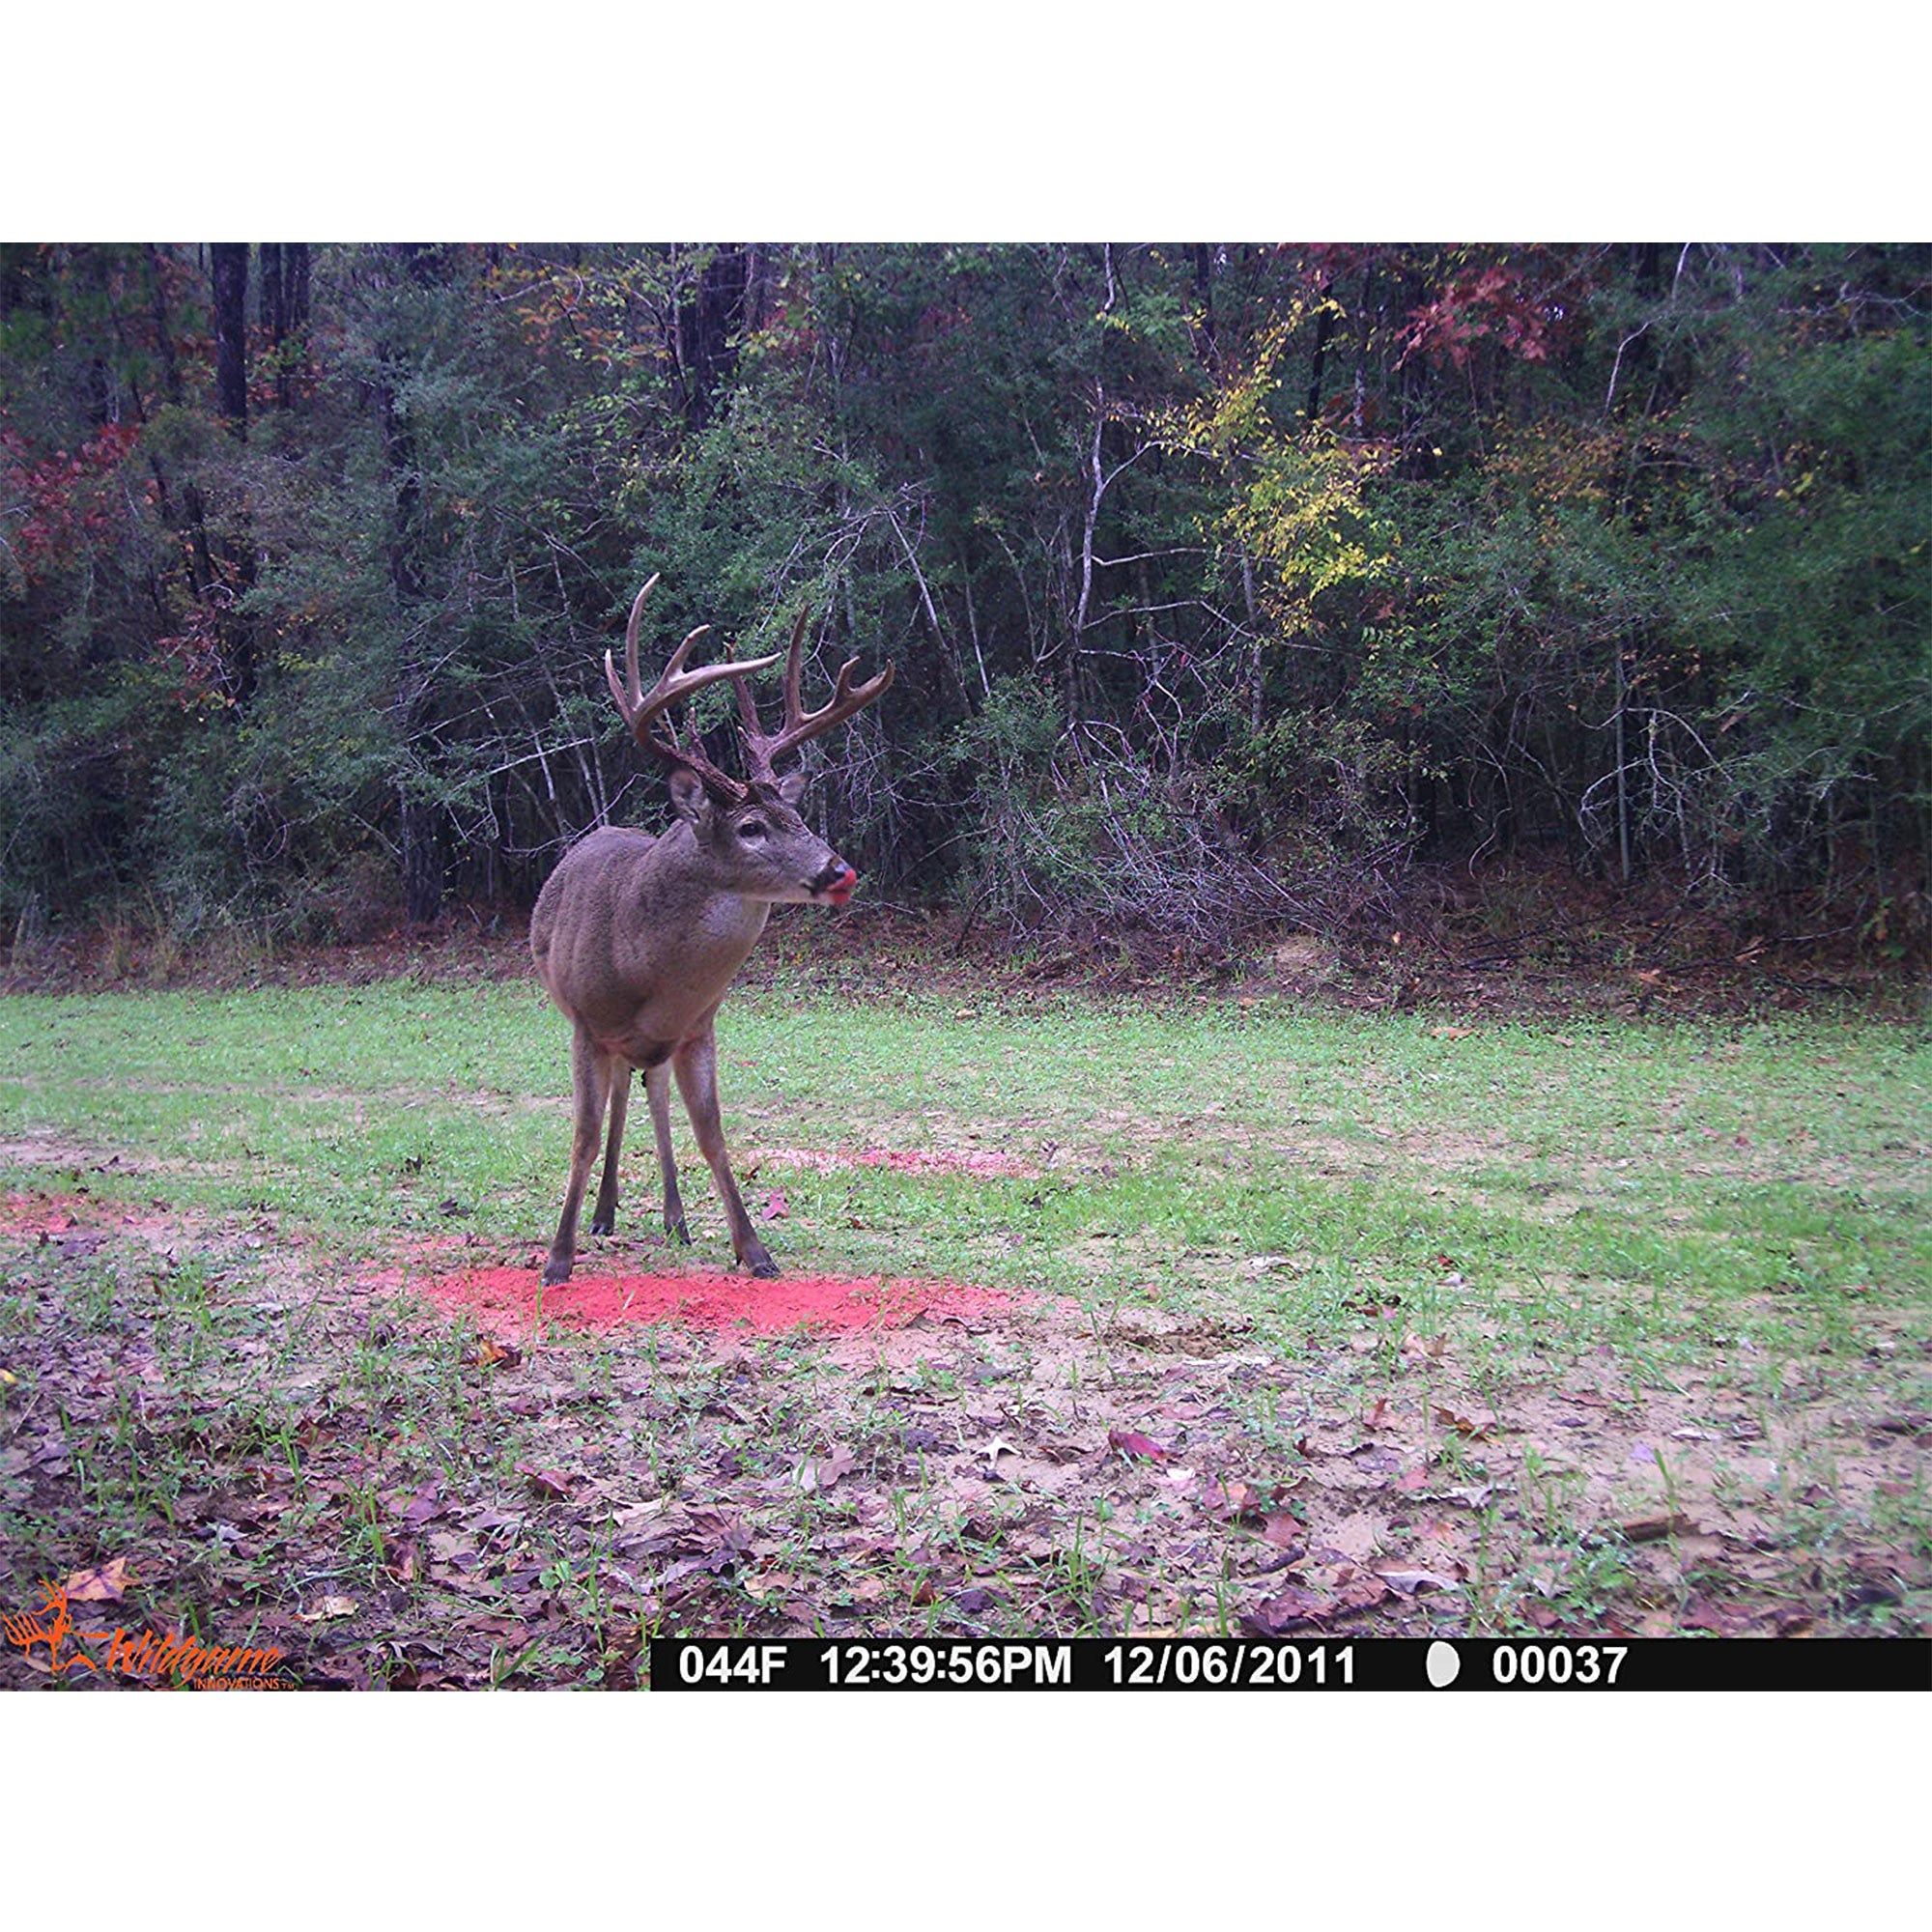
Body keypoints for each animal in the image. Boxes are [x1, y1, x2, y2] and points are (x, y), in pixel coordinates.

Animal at [530, 576, 893, 1287]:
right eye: (751, 828)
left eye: (797, 814)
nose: (839, 870)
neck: (641, 967)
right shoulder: (584, 1022)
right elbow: (582, 1135)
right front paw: (558, 1257)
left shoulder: (700, 1024)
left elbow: (714, 1133)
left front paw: (753, 1249)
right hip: (598, 1032)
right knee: (620, 1097)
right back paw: (603, 1214)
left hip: (657, 1047)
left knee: (649, 1095)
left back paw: (670, 1217)